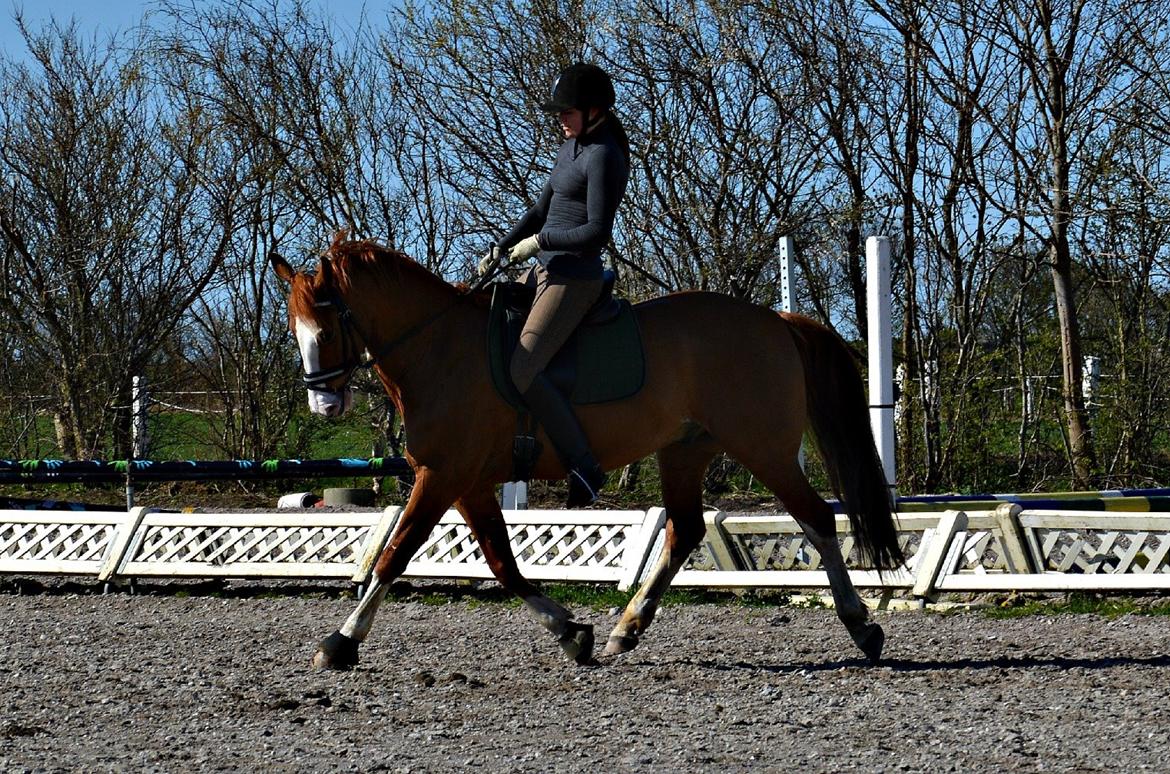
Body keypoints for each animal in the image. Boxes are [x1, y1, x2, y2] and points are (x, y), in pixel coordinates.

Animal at [271, 233, 903, 668]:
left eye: (324, 330)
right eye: (295, 333)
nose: (324, 407)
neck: (438, 348)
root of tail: (777, 319)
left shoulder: (443, 475)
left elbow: (395, 554)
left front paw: (341, 641)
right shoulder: (468, 482)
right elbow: (502, 563)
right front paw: (572, 633)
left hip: (762, 446)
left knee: (816, 517)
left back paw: (862, 626)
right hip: (684, 452)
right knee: (684, 530)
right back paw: (629, 626)